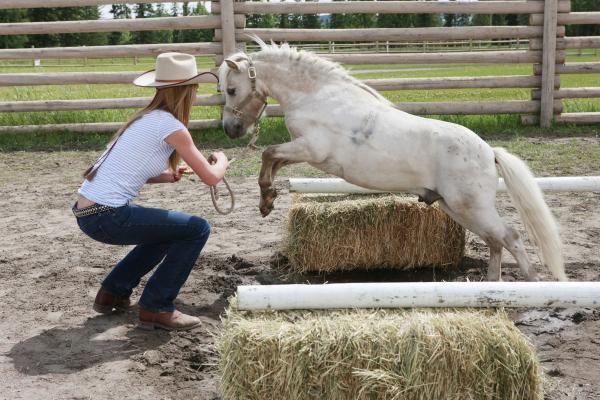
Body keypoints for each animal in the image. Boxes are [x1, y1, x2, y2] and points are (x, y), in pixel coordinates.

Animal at [218, 39, 564, 282]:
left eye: (232, 89)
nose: (230, 130)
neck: (317, 96)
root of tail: (489, 152)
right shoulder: (301, 151)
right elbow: (273, 162)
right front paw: (268, 201)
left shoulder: (311, 149)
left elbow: (268, 154)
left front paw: (266, 200)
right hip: (456, 208)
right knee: (496, 241)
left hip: (471, 207)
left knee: (511, 237)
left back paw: (532, 284)